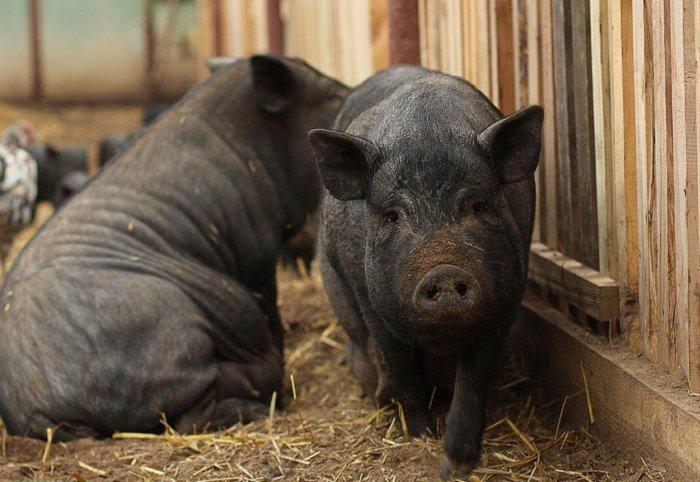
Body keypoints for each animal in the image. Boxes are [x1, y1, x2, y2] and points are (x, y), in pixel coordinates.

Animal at [0, 55, 348, 440]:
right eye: (332, 95)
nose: (351, 90)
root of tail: (37, 411)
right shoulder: (254, 252)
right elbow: (267, 312)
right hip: (174, 329)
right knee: (189, 417)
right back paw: (258, 407)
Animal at [309, 66, 542, 478]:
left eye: (478, 204)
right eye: (391, 215)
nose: (443, 272)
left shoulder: (506, 300)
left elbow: (474, 377)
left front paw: (455, 464)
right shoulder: (372, 302)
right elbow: (400, 363)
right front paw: (419, 434)